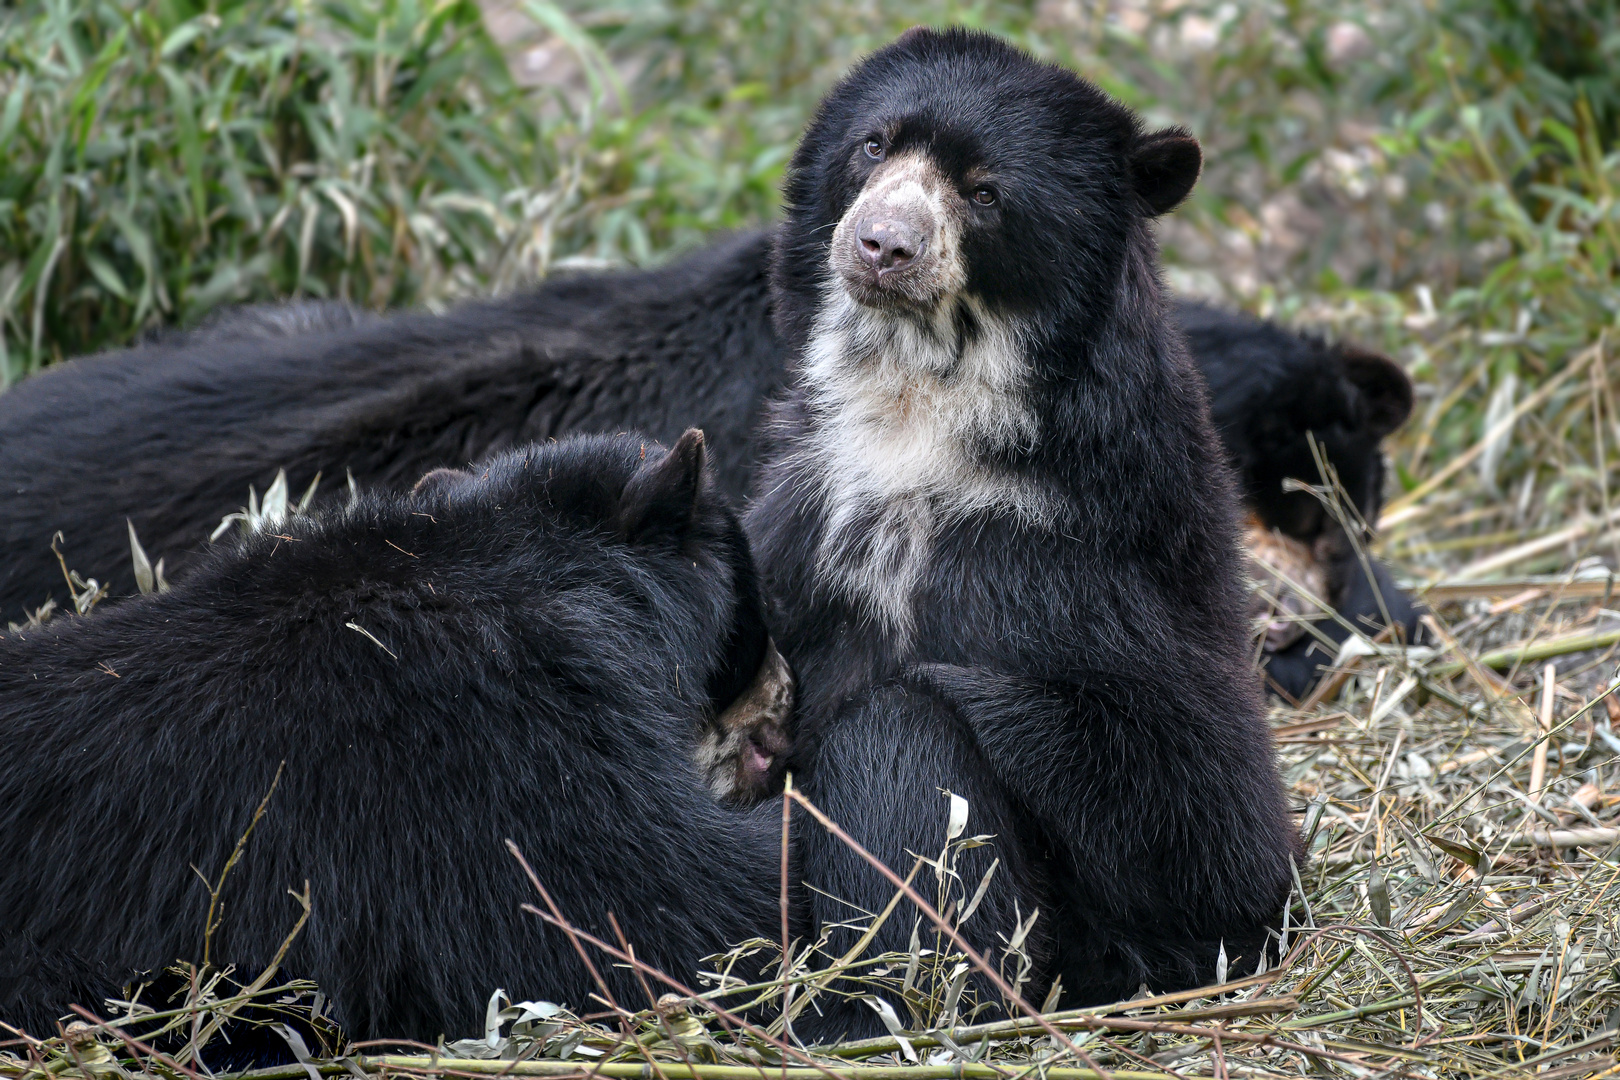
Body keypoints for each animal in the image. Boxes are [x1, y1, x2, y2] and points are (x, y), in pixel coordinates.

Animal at [745, 29, 1302, 1036]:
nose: (881, 245)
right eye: (873, 147)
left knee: (901, 743)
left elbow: (1204, 812)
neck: (919, 406)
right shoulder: (803, 511)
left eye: (985, 192)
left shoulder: (1073, 557)